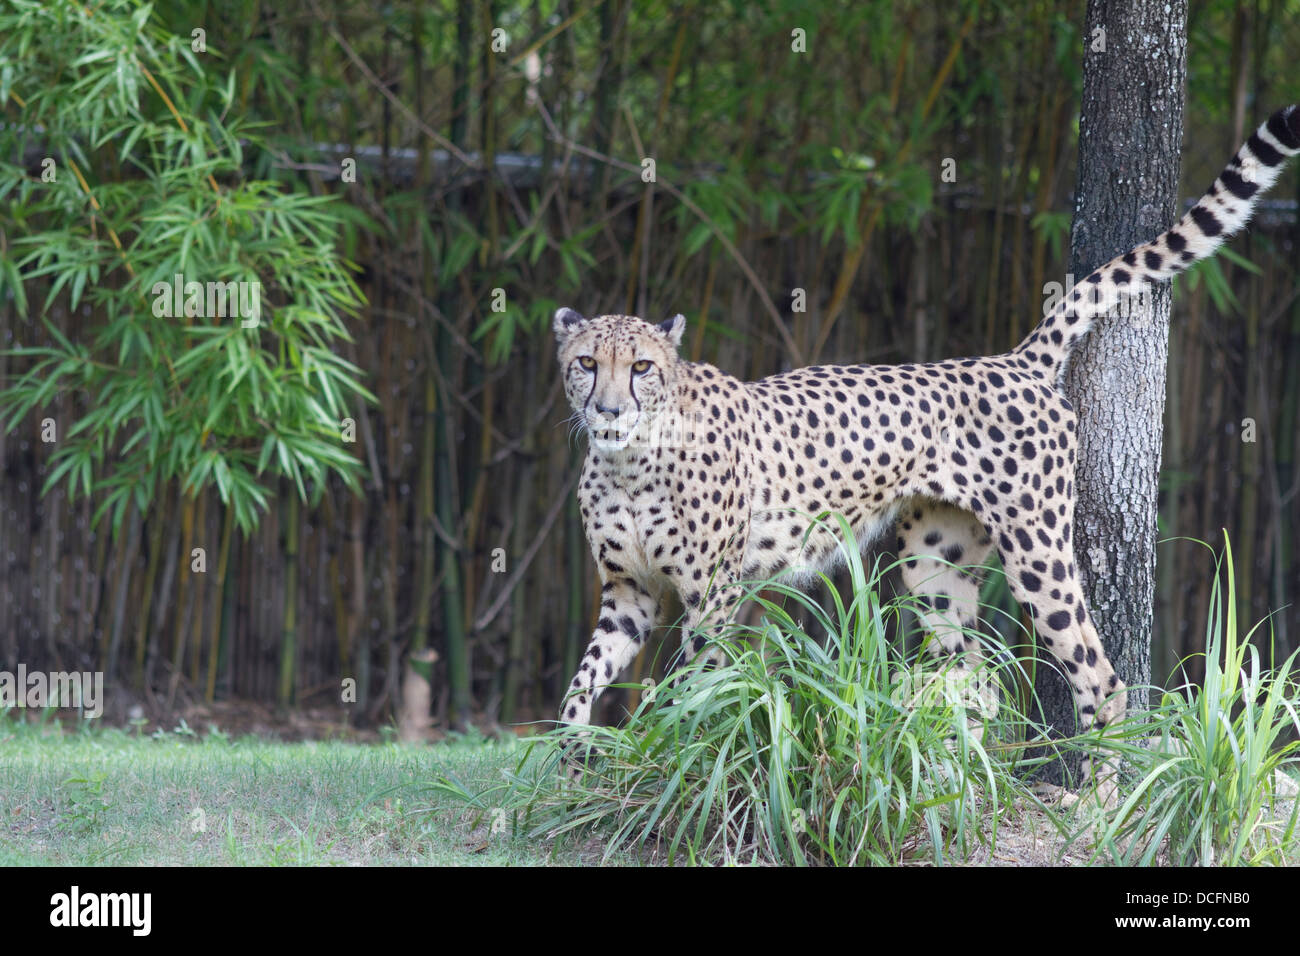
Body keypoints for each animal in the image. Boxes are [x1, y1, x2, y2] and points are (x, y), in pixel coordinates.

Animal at [551, 108, 1300, 743]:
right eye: (586, 363)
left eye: (642, 368)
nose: (608, 410)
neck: (630, 460)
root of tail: (1014, 358)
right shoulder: (629, 591)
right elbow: (581, 680)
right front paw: (571, 753)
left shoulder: (712, 594)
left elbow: (696, 683)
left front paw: (672, 753)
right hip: (933, 564)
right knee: (977, 677)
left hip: (1038, 551)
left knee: (1101, 679)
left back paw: (1100, 801)